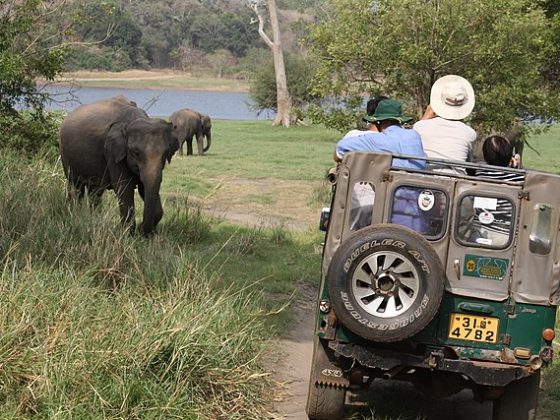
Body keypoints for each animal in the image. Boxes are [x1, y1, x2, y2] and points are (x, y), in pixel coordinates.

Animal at [59, 97, 178, 236]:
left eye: (165, 154)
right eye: (136, 153)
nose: (141, 228)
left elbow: (144, 188)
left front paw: (145, 234)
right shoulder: (112, 151)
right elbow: (124, 187)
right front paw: (129, 234)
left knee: (95, 192)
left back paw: (94, 219)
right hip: (65, 155)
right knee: (75, 187)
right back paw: (75, 216)